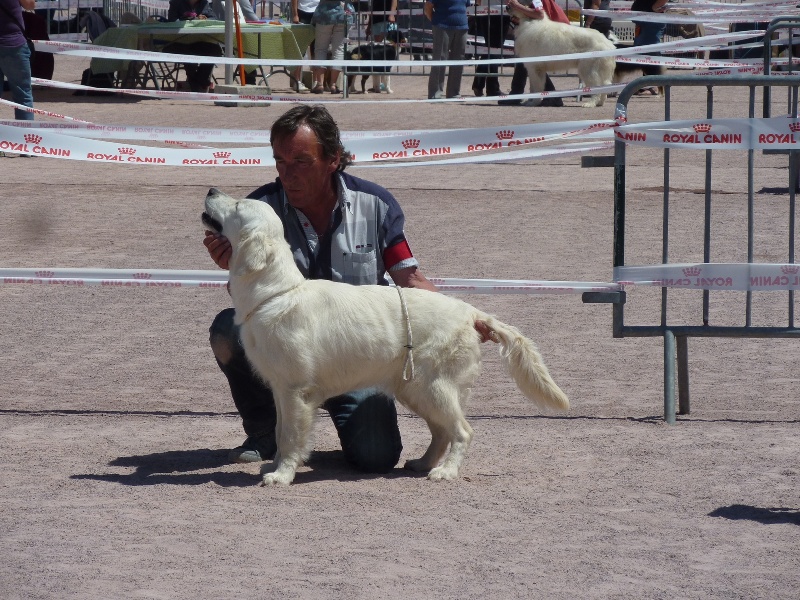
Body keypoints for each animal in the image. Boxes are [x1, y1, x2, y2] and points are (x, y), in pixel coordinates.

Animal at [203, 190, 572, 486]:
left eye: (237, 205)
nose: (211, 190)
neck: (275, 293)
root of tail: (471, 313)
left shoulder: (295, 391)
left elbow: (292, 437)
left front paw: (282, 475)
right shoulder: (281, 389)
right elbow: (281, 435)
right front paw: (276, 466)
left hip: (435, 387)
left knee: (462, 432)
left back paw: (445, 472)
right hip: (416, 389)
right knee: (441, 432)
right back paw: (422, 463)